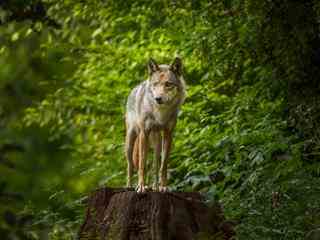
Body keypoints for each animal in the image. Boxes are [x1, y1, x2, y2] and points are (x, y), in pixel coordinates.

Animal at [124, 57, 185, 192]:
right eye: (155, 84)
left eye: (168, 84)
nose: (158, 98)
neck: (160, 113)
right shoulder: (144, 133)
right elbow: (142, 164)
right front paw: (141, 186)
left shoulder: (168, 134)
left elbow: (163, 165)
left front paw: (163, 186)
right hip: (132, 141)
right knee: (131, 165)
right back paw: (130, 186)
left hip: (156, 144)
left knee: (155, 166)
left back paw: (155, 186)